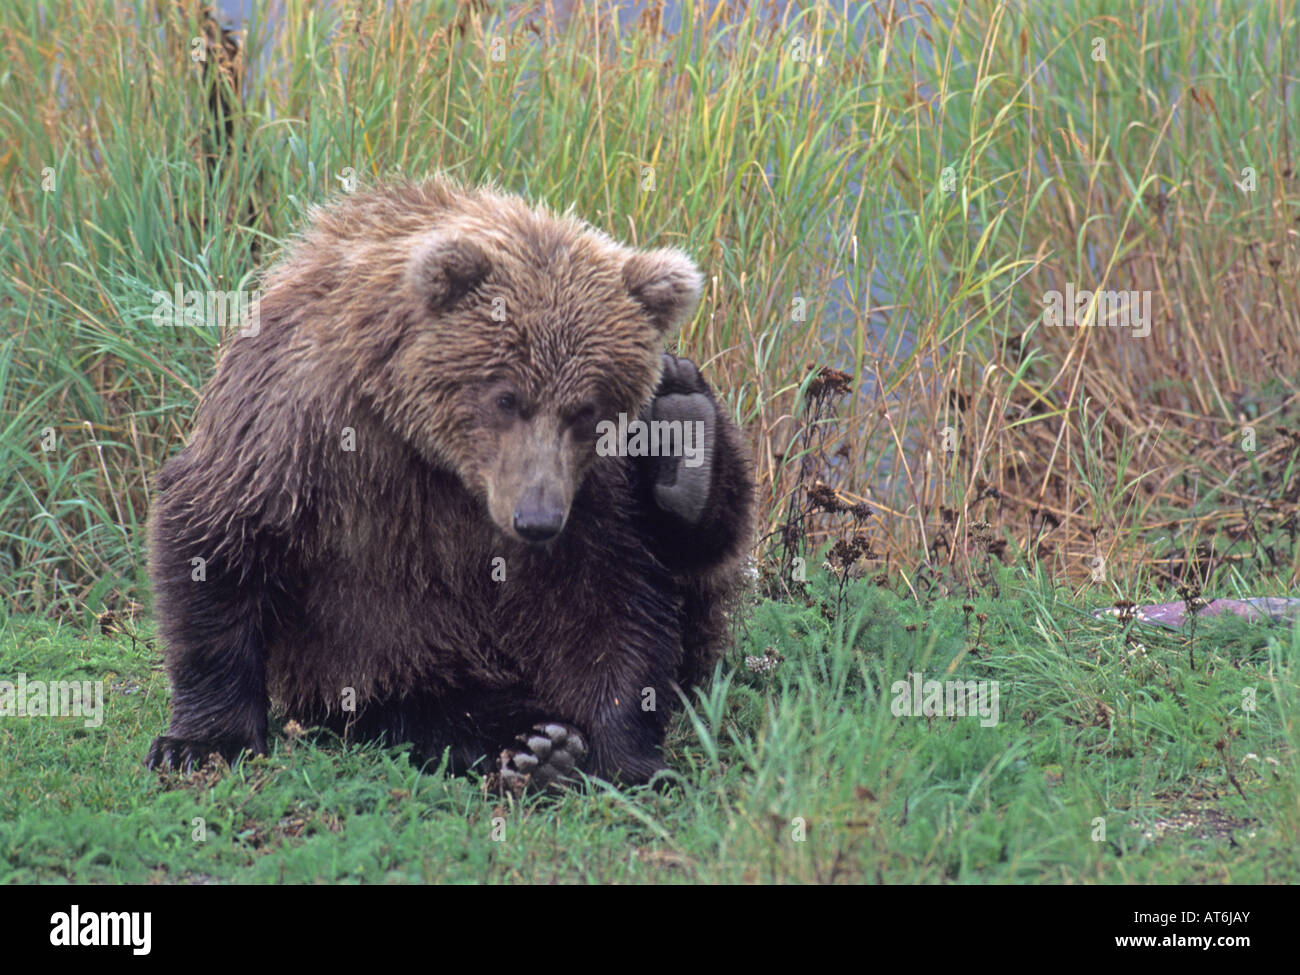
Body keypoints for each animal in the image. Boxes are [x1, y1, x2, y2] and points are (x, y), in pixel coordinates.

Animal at [144, 174, 754, 785]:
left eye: (587, 410)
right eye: (506, 396)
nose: (536, 519)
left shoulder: (590, 488)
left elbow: (616, 597)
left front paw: (624, 755)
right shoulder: (299, 421)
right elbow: (219, 533)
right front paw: (201, 741)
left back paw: (686, 440)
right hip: (388, 662)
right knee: (426, 705)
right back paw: (527, 743)